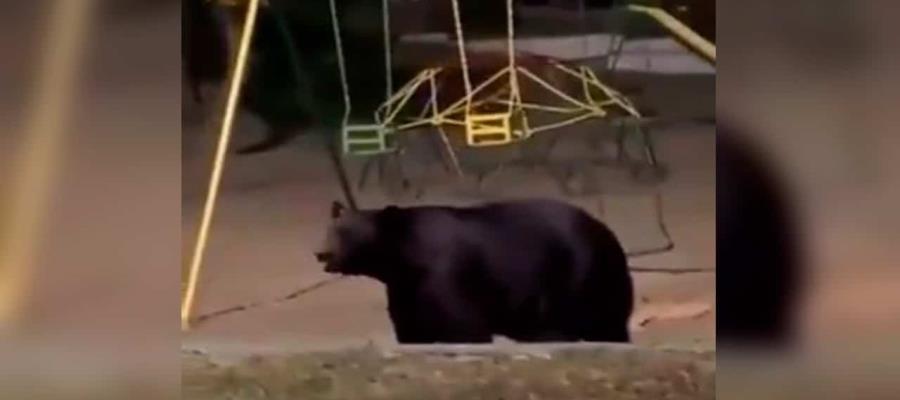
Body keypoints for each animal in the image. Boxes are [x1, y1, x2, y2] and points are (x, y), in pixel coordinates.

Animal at [315, 199, 634, 344]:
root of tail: (607, 233)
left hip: (583, 281)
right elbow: (412, 331)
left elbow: (465, 327)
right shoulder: (405, 292)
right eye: (330, 230)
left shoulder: (446, 279)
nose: (322, 253)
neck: (405, 261)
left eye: (348, 233)